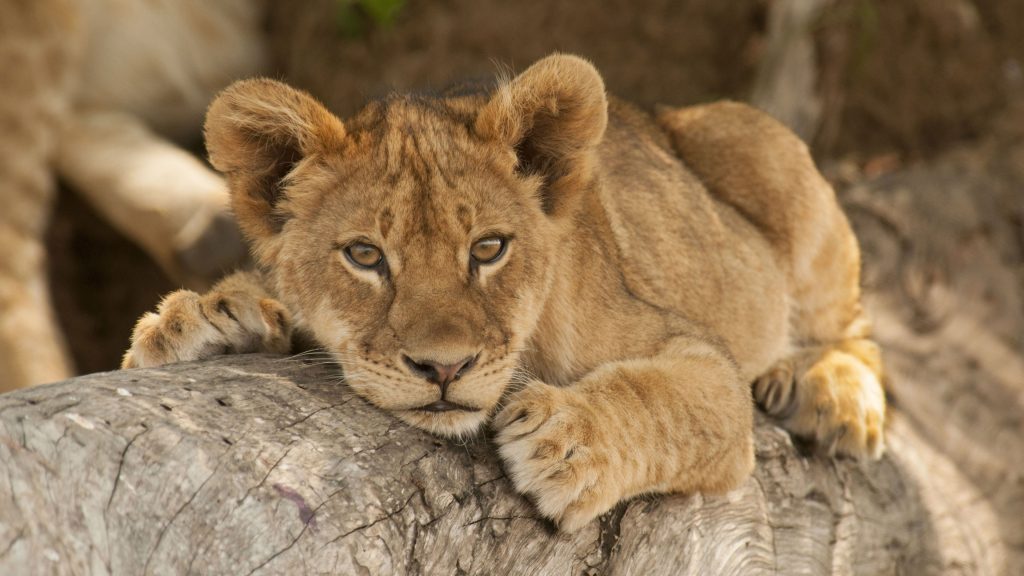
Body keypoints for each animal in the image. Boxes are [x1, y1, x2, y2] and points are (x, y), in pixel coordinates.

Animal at [122, 54, 887, 531]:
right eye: (365, 255)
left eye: (488, 249)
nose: (444, 369)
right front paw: (202, 319)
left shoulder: (702, 359)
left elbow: (665, 399)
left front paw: (565, 442)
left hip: (766, 154)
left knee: (858, 329)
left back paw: (834, 393)